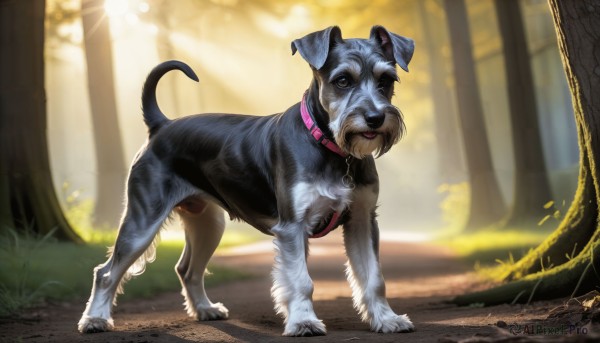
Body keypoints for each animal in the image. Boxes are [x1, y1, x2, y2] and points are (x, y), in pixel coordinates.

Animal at [77, 25, 414, 338]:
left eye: (386, 80)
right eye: (342, 80)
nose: (374, 118)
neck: (330, 147)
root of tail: (161, 125)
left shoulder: (361, 219)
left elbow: (373, 278)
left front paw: (387, 319)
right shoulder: (293, 227)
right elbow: (300, 280)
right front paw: (303, 322)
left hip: (208, 223)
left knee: (187, 269)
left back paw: (205, 309)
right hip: (143, 220)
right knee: (106, 272)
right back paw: (94, 319)